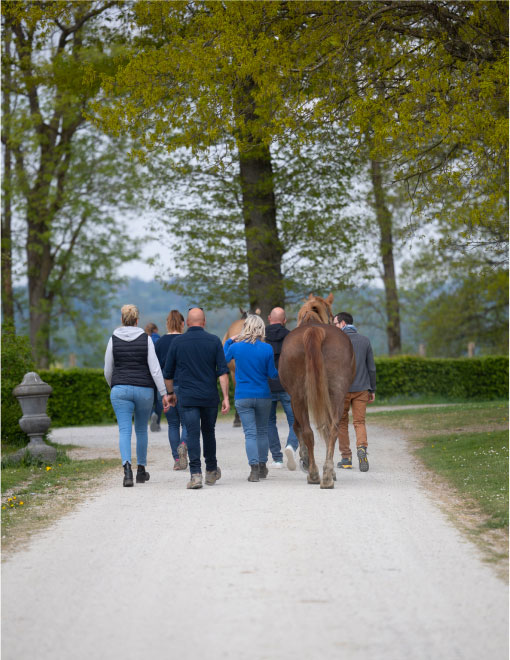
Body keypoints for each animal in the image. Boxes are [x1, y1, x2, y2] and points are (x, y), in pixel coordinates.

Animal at [278, 296, 354, 488]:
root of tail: (314, 329)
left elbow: (298, 427)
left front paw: (306, 460)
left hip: (300, 397)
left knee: (310, 430)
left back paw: (316, 474)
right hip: (334, 395)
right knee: (329, 429)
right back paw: (323, 474)